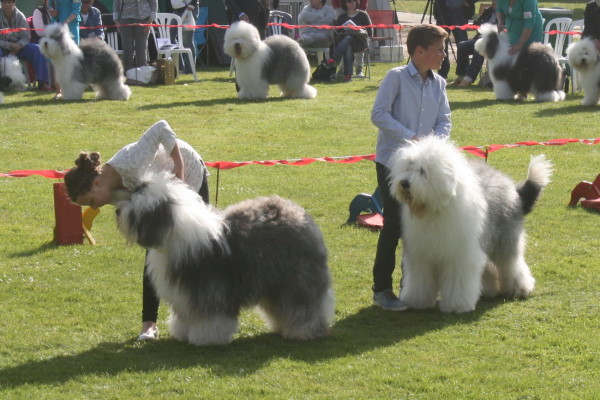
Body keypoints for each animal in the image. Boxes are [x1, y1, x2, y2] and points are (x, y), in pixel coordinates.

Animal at [113, 172, 334, 345]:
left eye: (135, 209)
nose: (117, 211)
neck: (173, 233)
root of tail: (300, 214)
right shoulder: (185, 295)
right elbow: (184, 316)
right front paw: (182, 332)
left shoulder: (210, 290)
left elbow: (211, 318)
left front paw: (206, 338)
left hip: (296, 280)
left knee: (304, 305)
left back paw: (305, 331)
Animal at [388, 136, 552, 314]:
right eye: (408, 167)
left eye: (422, 171)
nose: (404, 183)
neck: (435, 210)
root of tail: (513, 191)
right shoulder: (421, 255)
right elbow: (420, 279)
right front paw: (418, 301)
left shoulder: (459, 255)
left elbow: (458, 279)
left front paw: (457, 305)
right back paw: (488, 290)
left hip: (504, 241)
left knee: (511, 264)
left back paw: (520, 289)